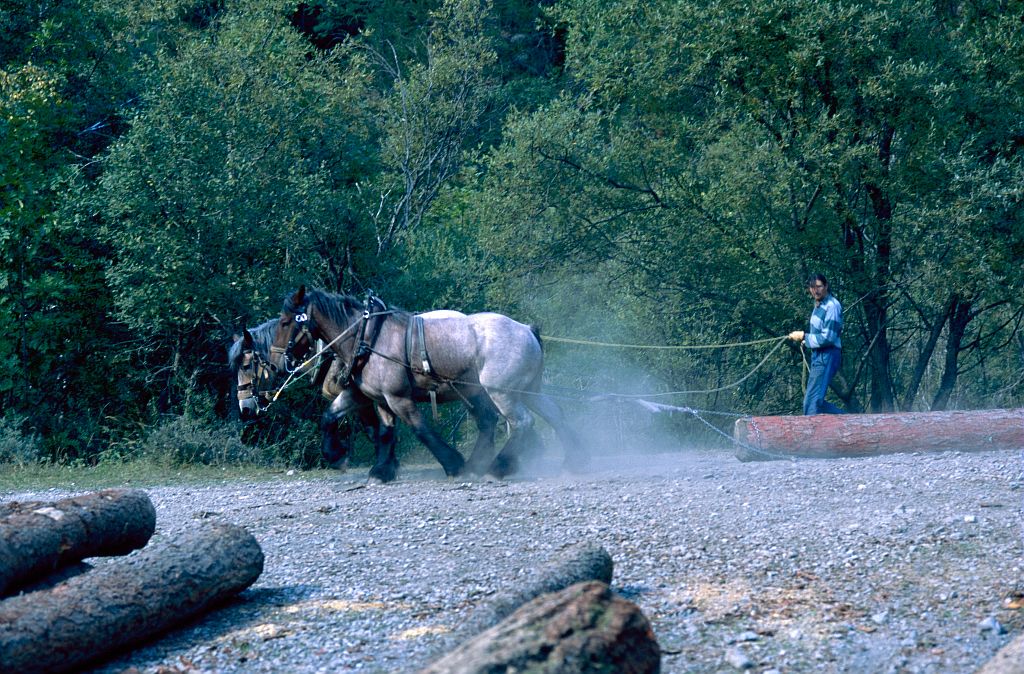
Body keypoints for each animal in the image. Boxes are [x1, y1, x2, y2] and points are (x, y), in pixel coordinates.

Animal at [268, 282, 589, 477]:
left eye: (285, 322)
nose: (275, 363)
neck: (367, 337)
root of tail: (527, 329)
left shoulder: (398, 397)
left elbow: (420, 429)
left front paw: (452, 463)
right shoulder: (370, 396)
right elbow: (344, 420)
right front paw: (360, 464)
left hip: (502, 392)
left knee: (521, 422)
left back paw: (497, 466)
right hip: (527, 390)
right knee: (554, 415)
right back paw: (574, 460)